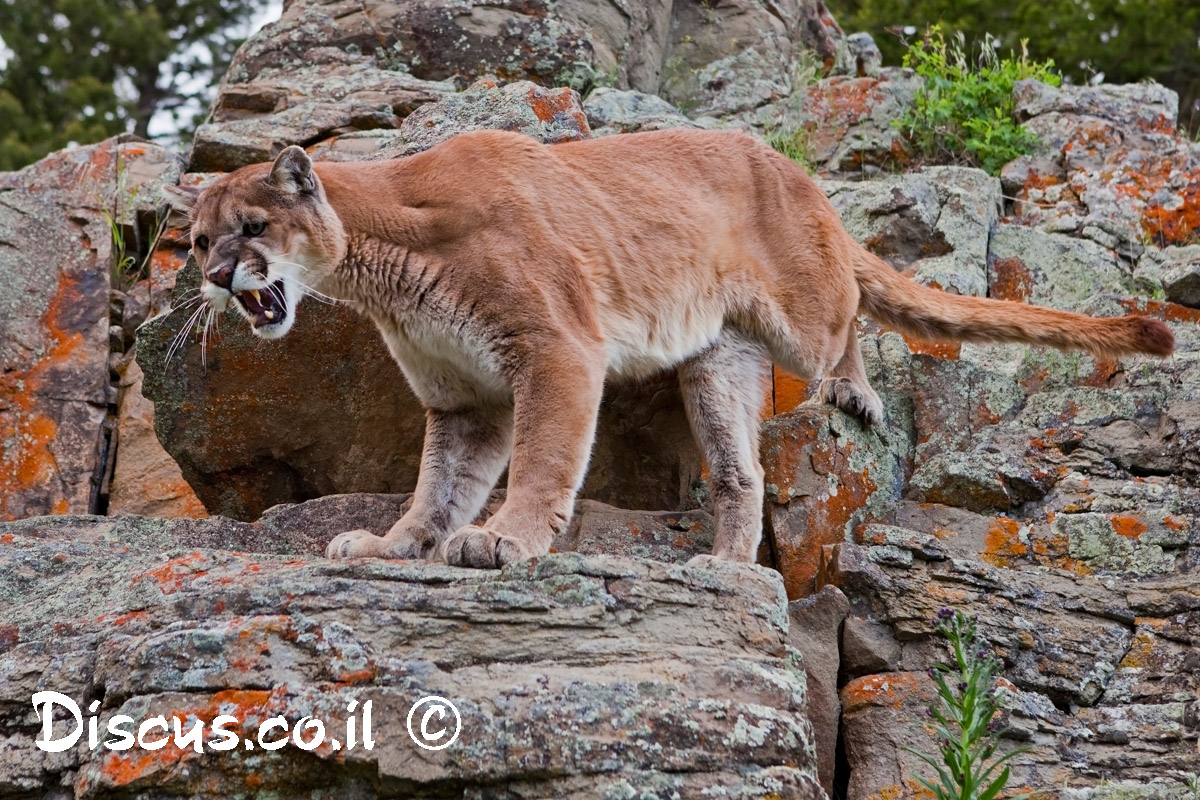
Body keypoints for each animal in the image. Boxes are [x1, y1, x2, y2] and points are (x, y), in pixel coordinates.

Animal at [166, 130, 1171, 568]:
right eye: (196, 240)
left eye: (251, 227)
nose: (215, 278)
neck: (381, 266)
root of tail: (804, 177)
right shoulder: (465, 397)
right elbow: (440, 484)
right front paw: (395, 543)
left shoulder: (554, 350)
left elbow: (543, 460)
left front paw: (506, 540)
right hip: (718, 365)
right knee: (739, 472)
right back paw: (726, 572)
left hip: (797, 315)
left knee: (848, 314)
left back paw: (854, 394)